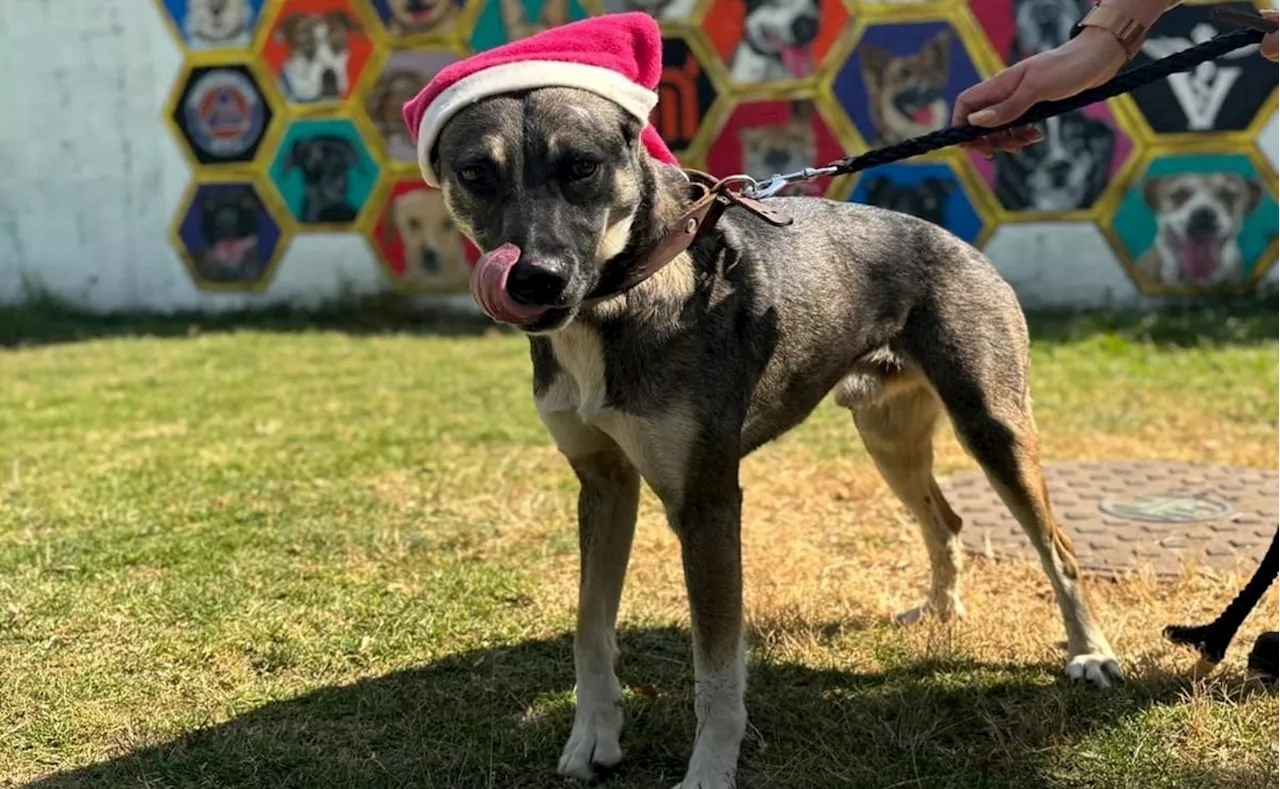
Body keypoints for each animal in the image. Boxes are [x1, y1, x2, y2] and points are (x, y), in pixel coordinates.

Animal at [427, 86, 1121, 789]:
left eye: (581, 166)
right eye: (475, 173)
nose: (534, 279)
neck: (620, 296)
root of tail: (959, 243)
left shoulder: (706, 504)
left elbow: (716, 672)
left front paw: (708, 772)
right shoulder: (604, 484)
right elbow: (589, 628)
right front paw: (593, 737)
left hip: (991, 428)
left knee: (1059, 550)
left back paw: (1090, 653)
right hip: (888, 439)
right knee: (945, 522)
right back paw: (942, 611)